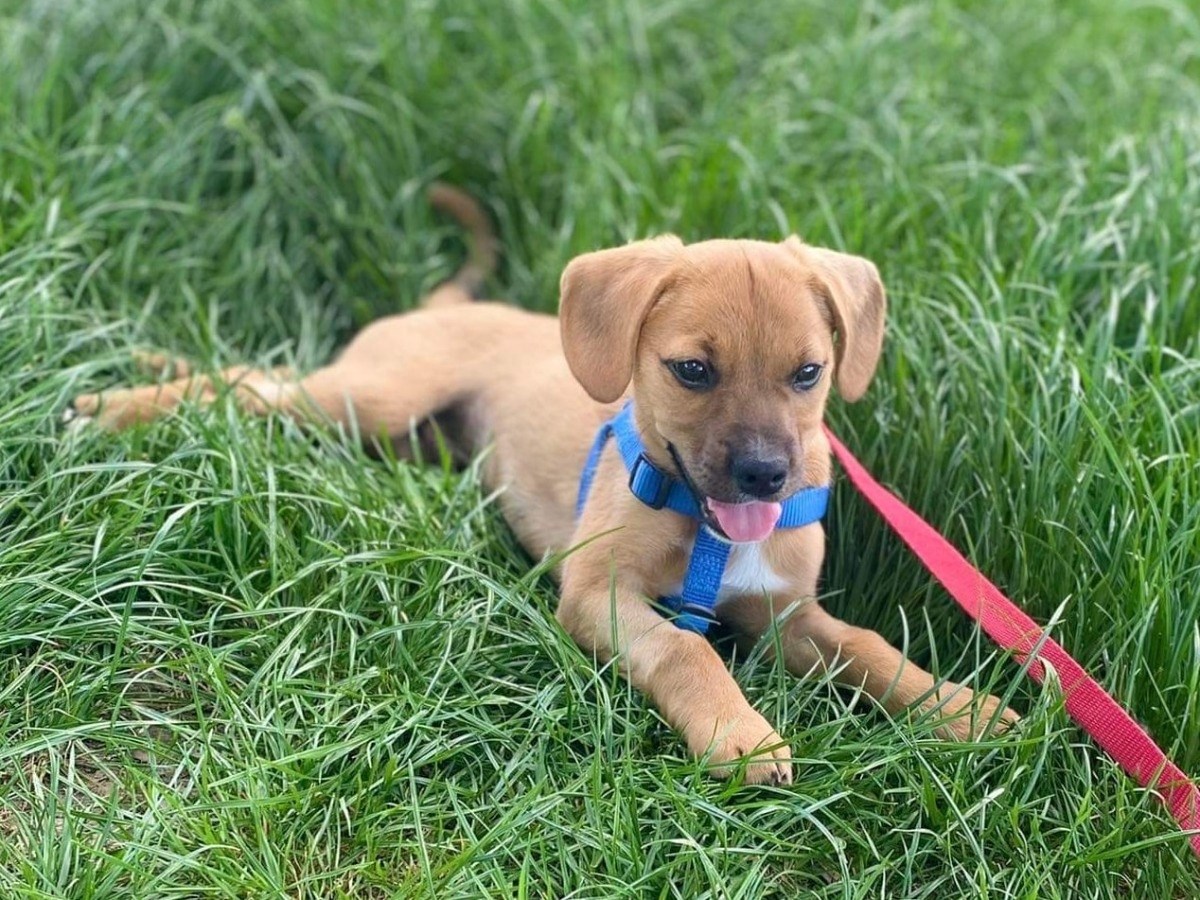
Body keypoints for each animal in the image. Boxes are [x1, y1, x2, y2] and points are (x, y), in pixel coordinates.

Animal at [70, 187, 1017, 787]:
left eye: (809, 373)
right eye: (692, 370)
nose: (764, 474)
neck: (706, 532)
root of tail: (443, 307)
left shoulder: (789, 618)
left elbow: (869, 647)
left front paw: (961, 709)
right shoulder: (598, 596)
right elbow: (689, 650)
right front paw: (740, 733)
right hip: (366, 398)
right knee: (247, 383)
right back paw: (117, 404)